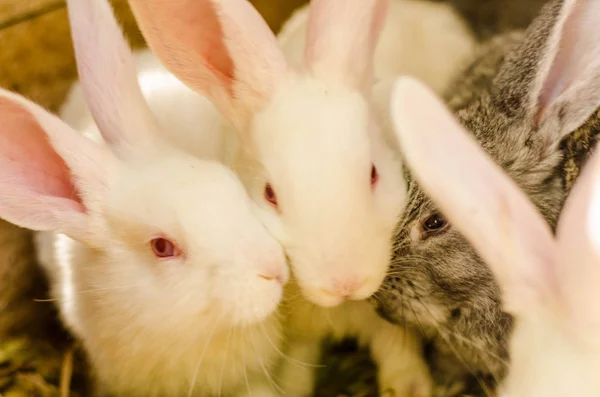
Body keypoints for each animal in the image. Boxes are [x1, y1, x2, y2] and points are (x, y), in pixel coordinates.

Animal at [125, 0, 436, 392]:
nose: (345, 283)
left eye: (373, 173)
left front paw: (411, 387)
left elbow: (399, 354)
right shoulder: (296, 339)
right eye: (269, 194)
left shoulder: (390, 327)